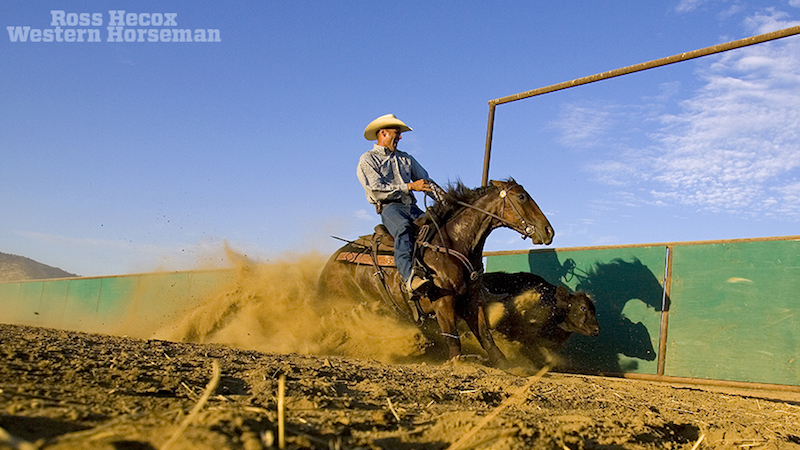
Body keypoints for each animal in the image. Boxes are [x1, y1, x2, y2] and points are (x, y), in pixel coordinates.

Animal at [317, 179, 554, 366]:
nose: (548, 231)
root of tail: (329, 264)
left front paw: (507, 364)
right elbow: (453, 337)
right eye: (522, 197)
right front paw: (459, 362)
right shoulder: (444, 302)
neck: (454, 243)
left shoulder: (472, 299)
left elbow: (485, 334)